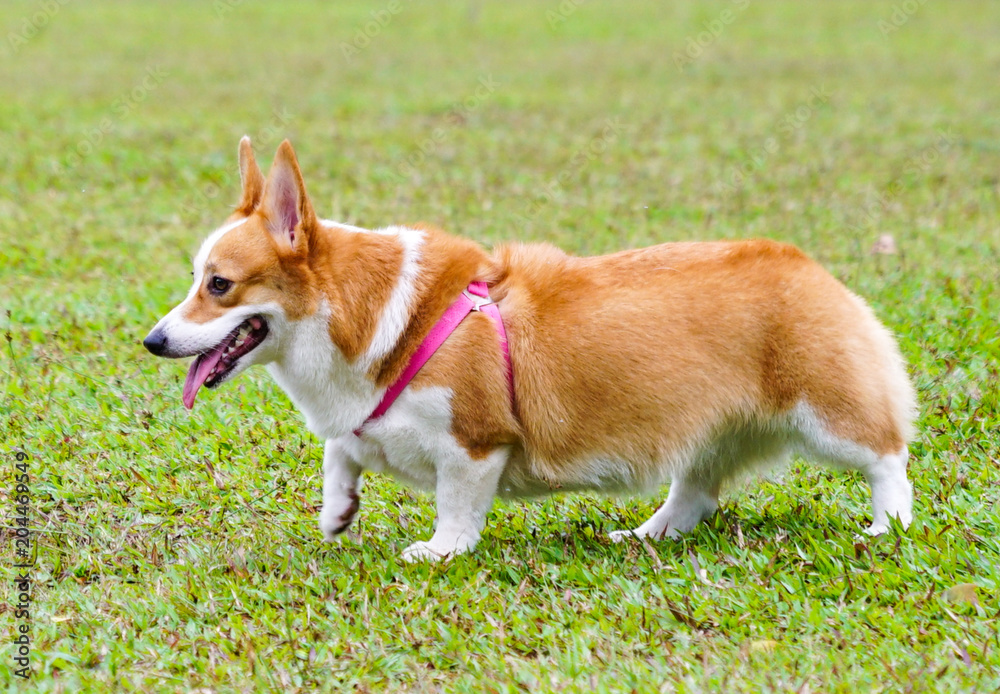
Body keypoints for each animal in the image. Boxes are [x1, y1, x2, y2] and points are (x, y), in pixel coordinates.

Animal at [145, 139, 916, 564]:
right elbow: (341, 450)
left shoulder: (474, 443)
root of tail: (812, 268)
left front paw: (439, 551)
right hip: (707, 431)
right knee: (694, 490)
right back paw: (648, 535)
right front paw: (339, 511)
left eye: (219, 284)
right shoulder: (364, 420)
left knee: (886, 456)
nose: (154, 341)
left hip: (827, 413)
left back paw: (888, 526)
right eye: (195, 278)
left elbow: (456, 506)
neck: (359, 312)